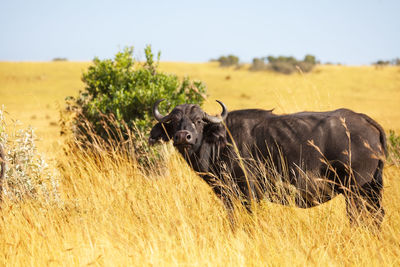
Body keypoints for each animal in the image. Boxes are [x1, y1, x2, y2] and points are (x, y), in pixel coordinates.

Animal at [148, 99, 386, 227]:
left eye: (198, 121)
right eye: (174, 121)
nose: (183, 136)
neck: (221, 141)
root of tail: (365, 120)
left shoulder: (249, 193)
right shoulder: (227, 195)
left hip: (356, 191)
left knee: (359, 217)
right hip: (371, 190)